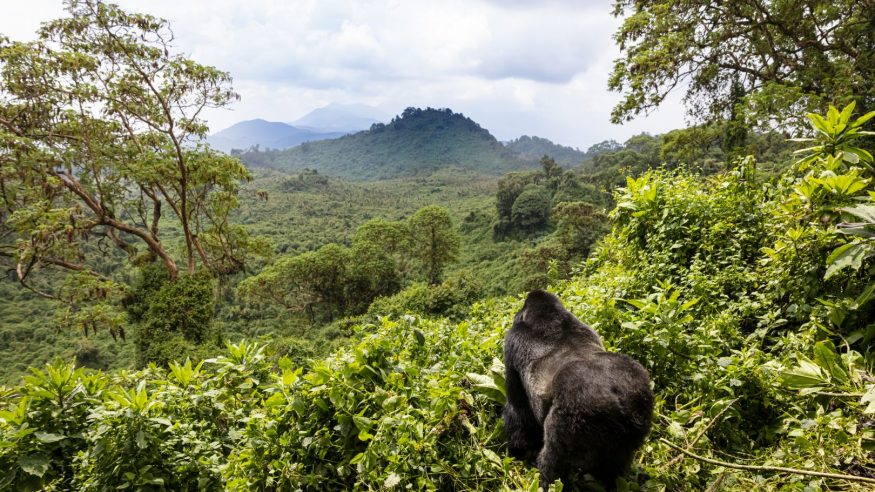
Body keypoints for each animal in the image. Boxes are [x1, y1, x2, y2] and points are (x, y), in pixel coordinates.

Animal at [503, 290, 654, 490]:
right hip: (640, 405)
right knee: (615, 465)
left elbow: (517, 407)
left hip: (575, 415)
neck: (549, 317)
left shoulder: (512, 341)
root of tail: (620, 400)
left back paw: (548, 482)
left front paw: (520, 450)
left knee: (554, 463)